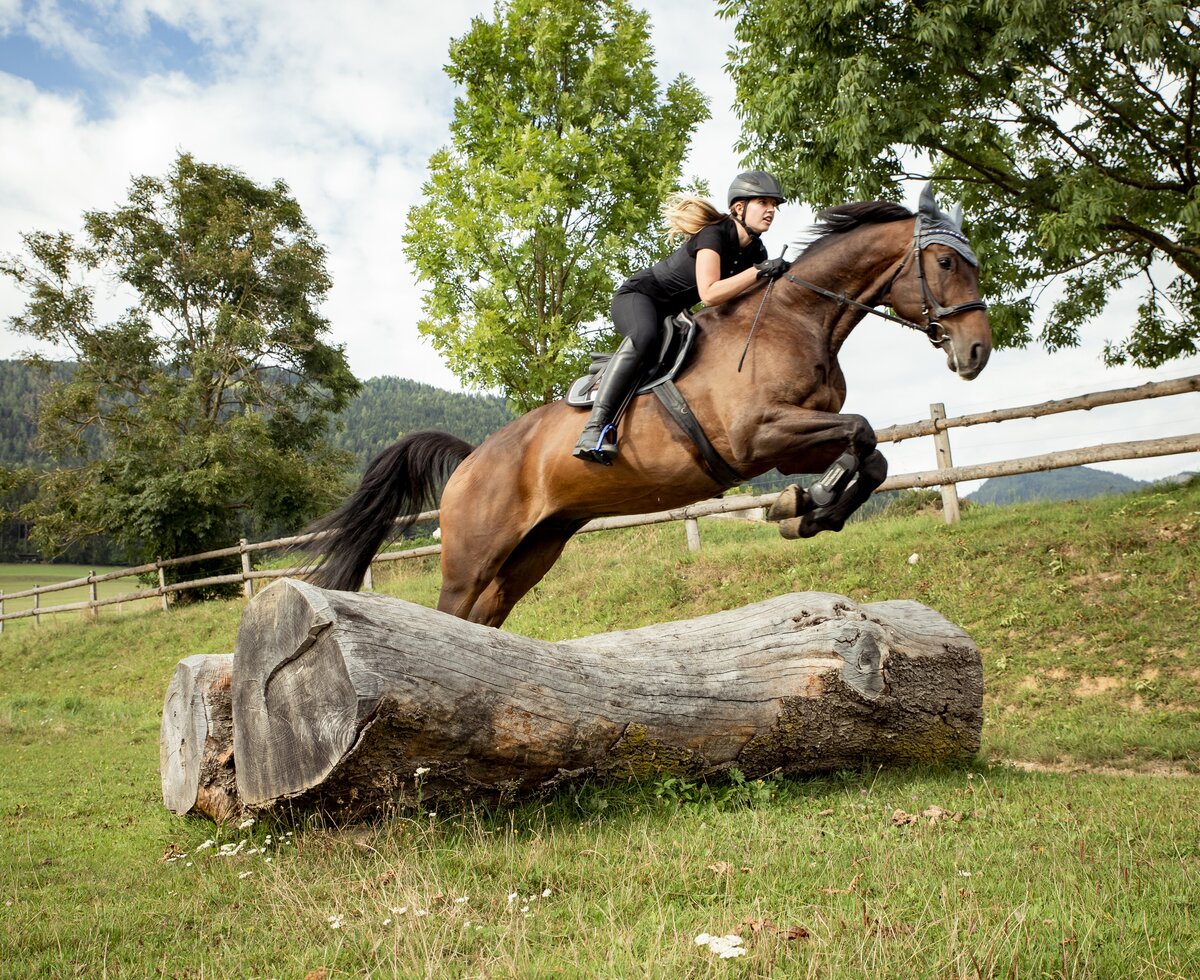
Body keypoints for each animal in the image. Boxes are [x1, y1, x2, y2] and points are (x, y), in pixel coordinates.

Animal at [304, 184, 988, 628]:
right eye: (945, 261)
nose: (977, 351)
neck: (797, 318)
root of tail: (473, 459)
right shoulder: (759, 437)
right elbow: (864, 432)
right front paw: (801, 506)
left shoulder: (791, 441)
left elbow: (869, 453)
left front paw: (808, 511)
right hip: (471, 558)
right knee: (451, 612)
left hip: (534, 550)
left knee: (483, 620)